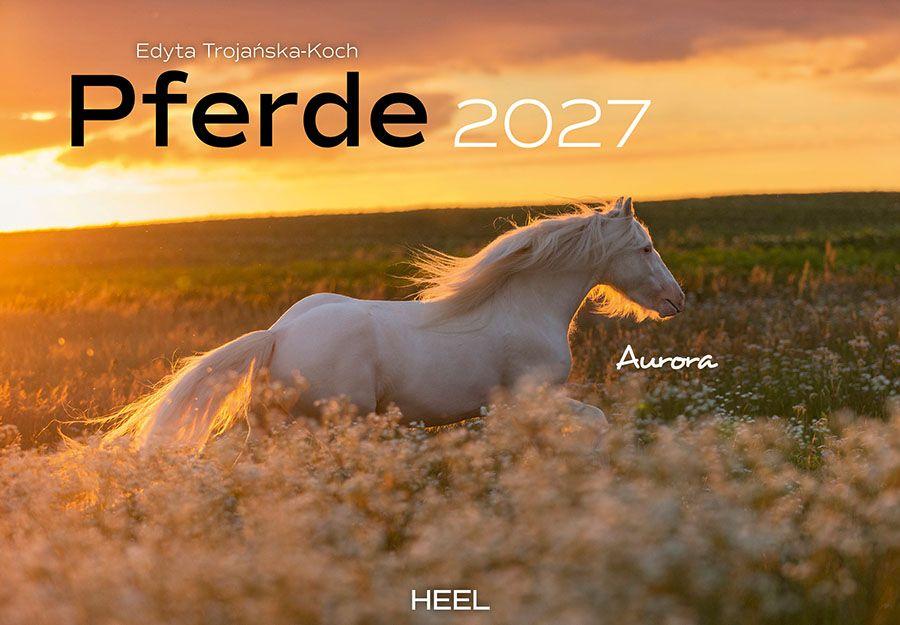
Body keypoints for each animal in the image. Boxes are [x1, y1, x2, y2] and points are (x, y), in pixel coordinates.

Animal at [103, 197, 684, 449]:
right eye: (646, 247)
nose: (675, 299)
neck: (525, 307)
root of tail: (278, 335)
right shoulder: (532, 396)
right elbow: (597, 420)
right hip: (340, 419)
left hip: (273, 424)